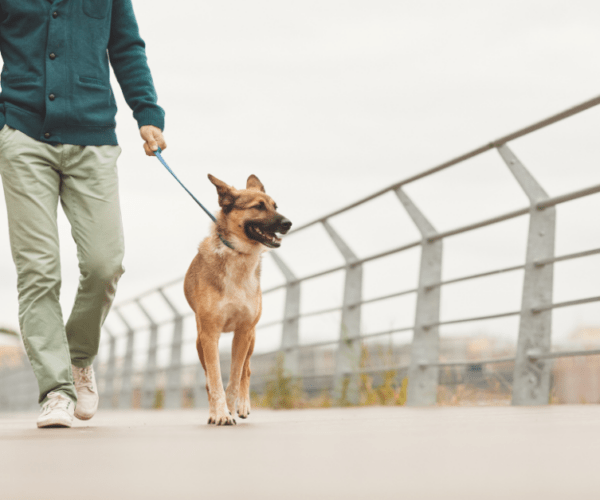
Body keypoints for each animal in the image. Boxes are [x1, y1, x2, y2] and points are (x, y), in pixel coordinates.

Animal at [185, 174, 292, 424]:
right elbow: (214, 380)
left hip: (250, 339)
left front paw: (232, 408)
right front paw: (220, 413)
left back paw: (242, 406)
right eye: (258, 207)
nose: (288, 223)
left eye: (275, 206)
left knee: (247, 370)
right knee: (209, 378)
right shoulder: (209, 335)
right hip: (199, 342)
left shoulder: (243, 332)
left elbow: (234, 378)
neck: (239, 255)